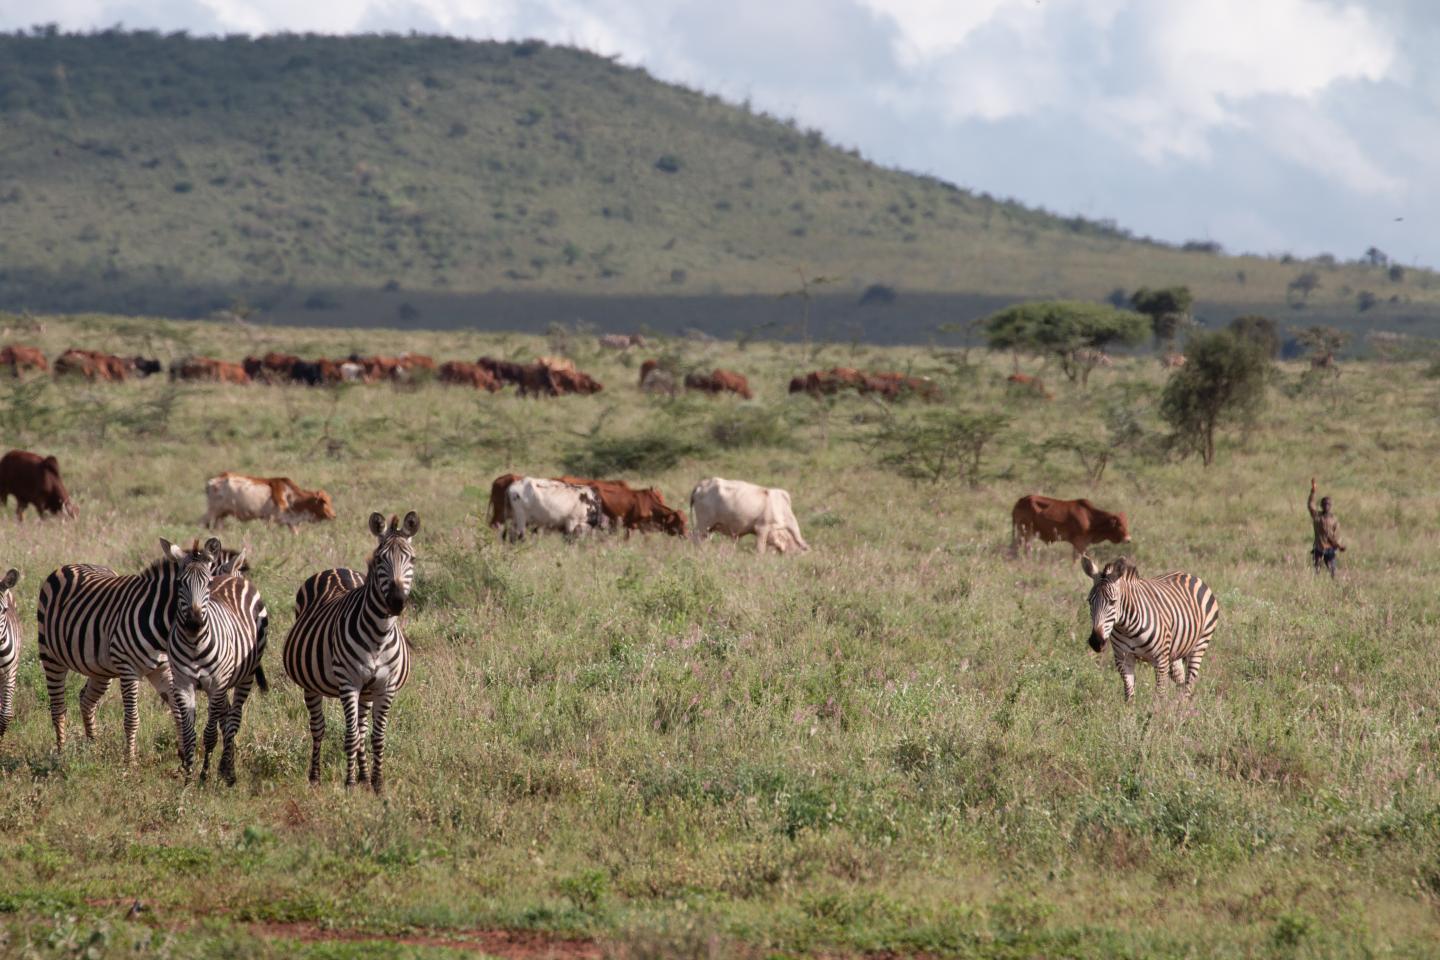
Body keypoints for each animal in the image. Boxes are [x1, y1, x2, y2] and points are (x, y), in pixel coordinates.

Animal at [35, 541, 197, 759]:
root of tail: (70, 565)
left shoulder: (162, 669)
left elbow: (179, 711)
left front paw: (184, 755)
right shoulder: (128, 669)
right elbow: (132, 719)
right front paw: (130, 761)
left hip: (100, 667)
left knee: (86, 699)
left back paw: (93, 746)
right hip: (51, 656)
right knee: (58, 706)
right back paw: (61, 753)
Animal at [167, 538, 270, 782]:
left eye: (207, 583)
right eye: (179, 583)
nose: (193, 623)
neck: (194, 643)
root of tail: (232, 577)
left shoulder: (217, 684)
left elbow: (210, 733)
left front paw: (204, 775)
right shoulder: (183, 684)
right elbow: (189, 734)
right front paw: (188, 776)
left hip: (245, 677)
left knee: (235, 718)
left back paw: (227, 769)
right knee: (228, 719)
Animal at [280, 515, 417, 794]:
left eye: (412, 559)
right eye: (379, 560)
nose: (396, 602)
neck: (379, 635)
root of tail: (336, 568)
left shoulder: (385, 687)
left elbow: (376, 737)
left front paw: (376, 784)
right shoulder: (349, 683)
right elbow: (351, 735)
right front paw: (350, 784)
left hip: (368, 690)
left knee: (363, 731)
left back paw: (364, 776)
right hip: (311, 684)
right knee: (318, 728)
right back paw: (315, 776)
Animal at [1082, 552, 1215, 702]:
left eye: (1112, 602)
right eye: (1089, 601)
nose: (1096, 641)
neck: (1126, 628)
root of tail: (1188, 574)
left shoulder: (1160, 659)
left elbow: (1160, 693)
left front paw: (1159, 709)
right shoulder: (1123, 658)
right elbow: (1129, 692)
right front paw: (1130, 708)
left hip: (1200, 643)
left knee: (1188, 682)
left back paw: (1183, 705)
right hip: (1175, 651)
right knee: (1180, 679)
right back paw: (1177, 704)